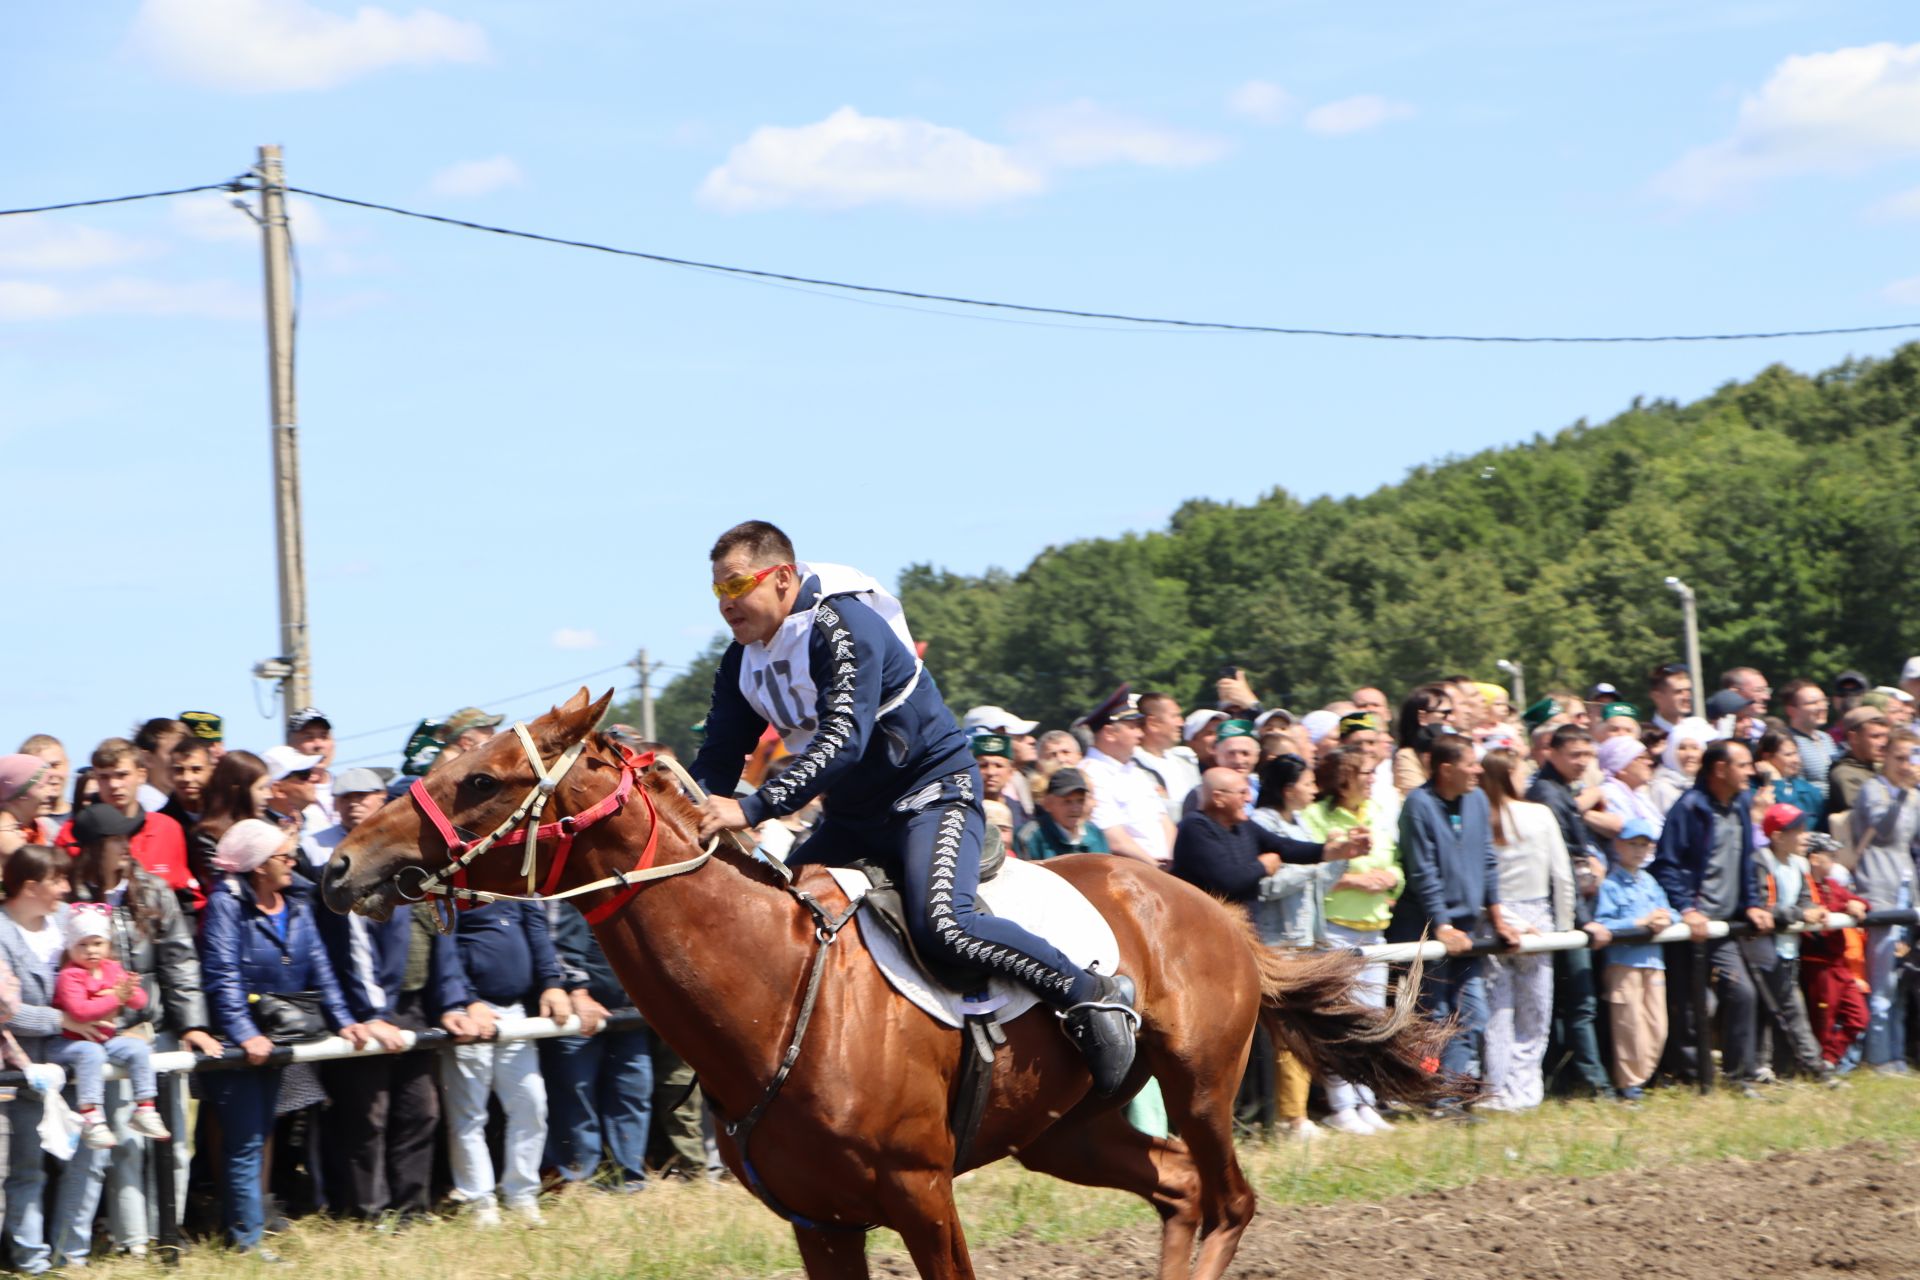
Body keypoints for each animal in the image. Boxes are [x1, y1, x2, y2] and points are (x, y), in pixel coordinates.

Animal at [322, 694, 1443, 1274]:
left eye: (480, 778)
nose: (339, 863)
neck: (777, 992)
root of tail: (1212, 905)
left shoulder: (920, 1193)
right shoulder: (820, 1222)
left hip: (1203, 1080)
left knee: (1228, 1197)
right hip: (1065, 1130)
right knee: (1178, 1189)